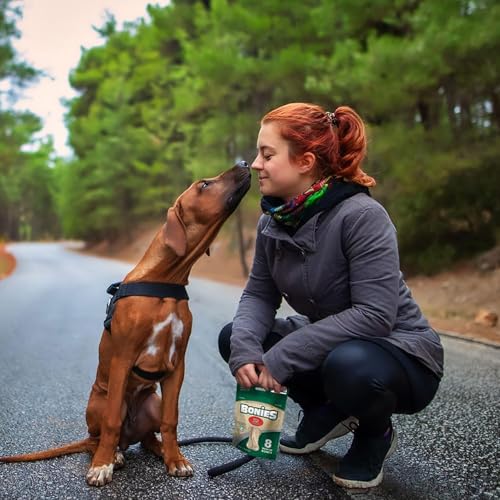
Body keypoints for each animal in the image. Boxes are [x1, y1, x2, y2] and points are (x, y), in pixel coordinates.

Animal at [0, 162, 250, 486]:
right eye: (204, 185)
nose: (244, 163)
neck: (165, 279)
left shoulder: (178, 365)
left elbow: (171, 420)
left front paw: (175, 459)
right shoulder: (122, 358)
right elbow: (110, 424)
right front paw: (102, 466)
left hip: (152, 401)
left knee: (146, 438)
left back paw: (158, 449)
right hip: (101, 402)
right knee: (99, 437)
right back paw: (111, 455)